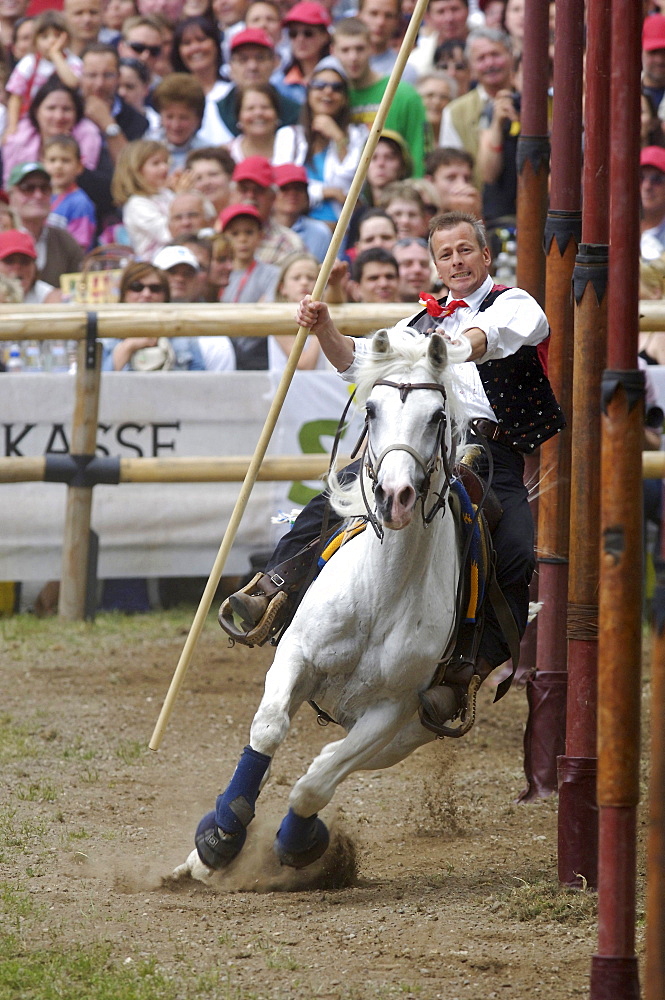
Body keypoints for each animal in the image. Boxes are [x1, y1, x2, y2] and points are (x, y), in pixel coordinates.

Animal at [171, 324, 472, 880]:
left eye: (438, 416)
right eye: (370, 409)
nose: (395, 495)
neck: (383, 590)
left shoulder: (394, 709)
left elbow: (316, 780)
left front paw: (299, 845)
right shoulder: (297, 656)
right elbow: (268, 732)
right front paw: (218, 838)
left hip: (407, 732)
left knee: (334, 763)